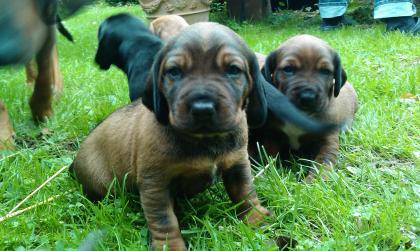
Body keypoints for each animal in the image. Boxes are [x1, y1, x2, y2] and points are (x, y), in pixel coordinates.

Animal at [249, 34, 358, 181]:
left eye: (325, 71)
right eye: (288, 69)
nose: (308, 96)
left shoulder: (328, 141)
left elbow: (322, 164)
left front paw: (313, 182)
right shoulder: (273, 135)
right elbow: (270, 155)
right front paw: (268, 172)